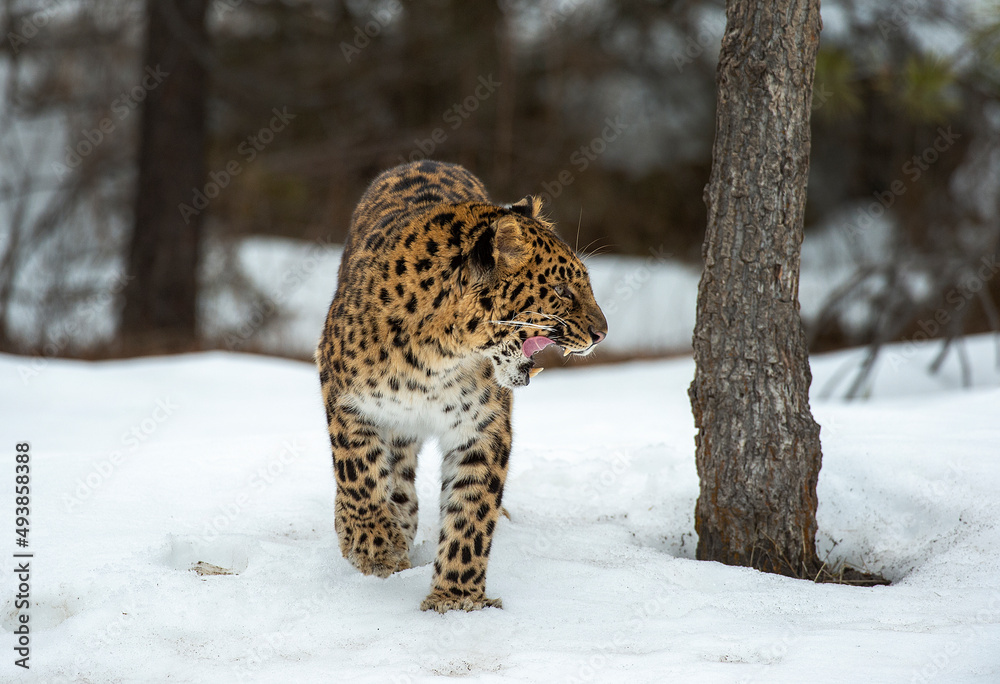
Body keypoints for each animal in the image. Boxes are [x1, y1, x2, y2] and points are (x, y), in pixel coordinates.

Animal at [315, 160, 607, 613]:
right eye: (562, 290)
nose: (602, 333)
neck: (437, 356)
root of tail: (427, 160)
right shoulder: (343, 394)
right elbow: (357, 470)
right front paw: (373, 545)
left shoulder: (482, 429)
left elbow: (471, 513)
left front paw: (455, 600)